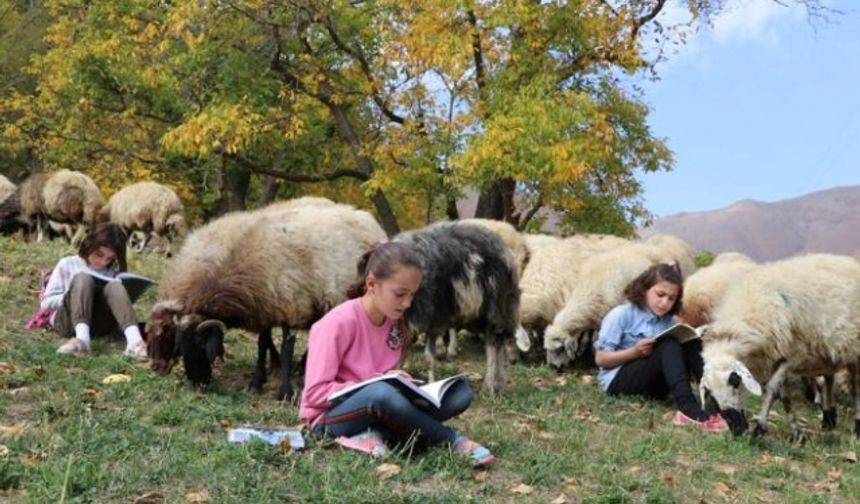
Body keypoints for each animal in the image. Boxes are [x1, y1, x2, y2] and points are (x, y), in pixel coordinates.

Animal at [146, 197, 384, 398]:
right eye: (180, 343)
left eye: (201, 344)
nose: (197, 384)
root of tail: (366, 217)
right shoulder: (264, 308)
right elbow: (262, 344)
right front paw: (257, 383)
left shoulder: (292, 308)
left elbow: (287, 350)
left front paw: (285, 392)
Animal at [394, 221, 520, 394]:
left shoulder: (434, 318)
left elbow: (428, 358)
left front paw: (431, 384)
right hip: (485, 315)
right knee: (499, 345)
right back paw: (499, 385)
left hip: (496, 309)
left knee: (492, 347)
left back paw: (489, 388)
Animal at [704, 254, 860, 440]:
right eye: (709, 392)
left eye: (735, 381)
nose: (737, 429)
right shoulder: (777, 356)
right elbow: (784, 396)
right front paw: (796, 433)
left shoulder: (794, 355)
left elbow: (772, 389)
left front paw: (760, 428)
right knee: (830, 380)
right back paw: (828, 418)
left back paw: (856, 428)